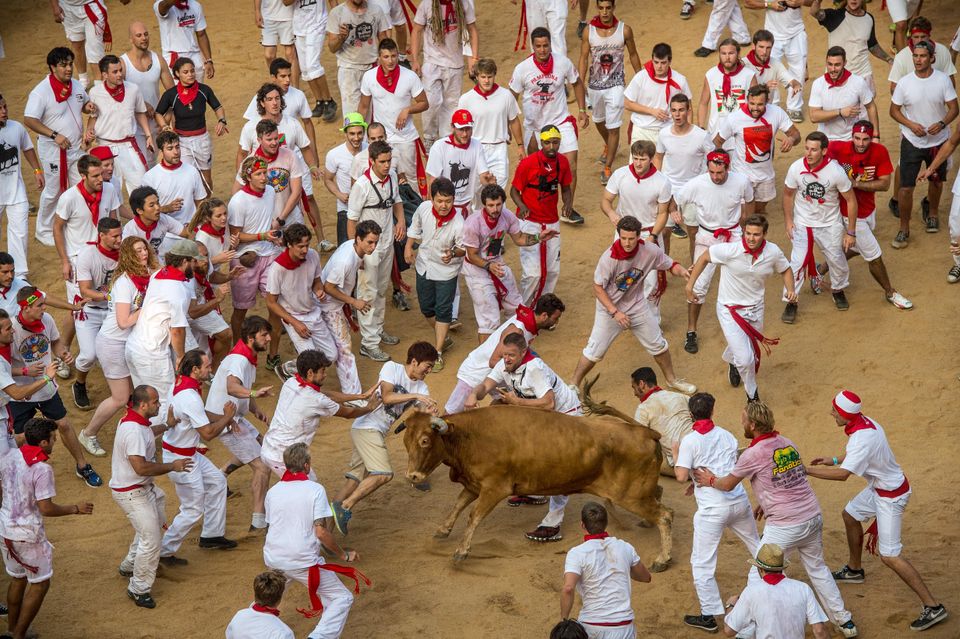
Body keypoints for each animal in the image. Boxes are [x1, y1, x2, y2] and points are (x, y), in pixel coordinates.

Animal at [394, 404, 672, 568]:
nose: (413, 476)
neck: (468, 436)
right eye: (406, 442)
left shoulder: (494, 489)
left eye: (425, 440)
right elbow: (458, 505)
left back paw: (663, 558)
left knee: (665, 515)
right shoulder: (474, 485)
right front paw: (443, 530)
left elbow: (473, 516)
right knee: (659, 497)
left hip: (632, 496)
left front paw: (461, 551)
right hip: (641, 492)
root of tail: (646, 432)